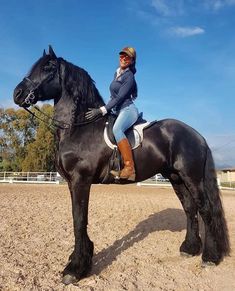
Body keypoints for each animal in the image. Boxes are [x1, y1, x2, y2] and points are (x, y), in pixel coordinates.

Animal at [12, 46, 229, 286]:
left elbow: (79, 220)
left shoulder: (81, 180)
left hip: (192, 177)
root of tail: (196, 134)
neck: (78, 127)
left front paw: (75, 268)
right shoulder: (71, 182)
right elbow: (77, 219)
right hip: (175, 177)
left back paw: (210, 257)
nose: (17, 94)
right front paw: (83, 258)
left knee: (205, 210)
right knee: (190, 209)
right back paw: (189, 249)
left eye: (48, 68)